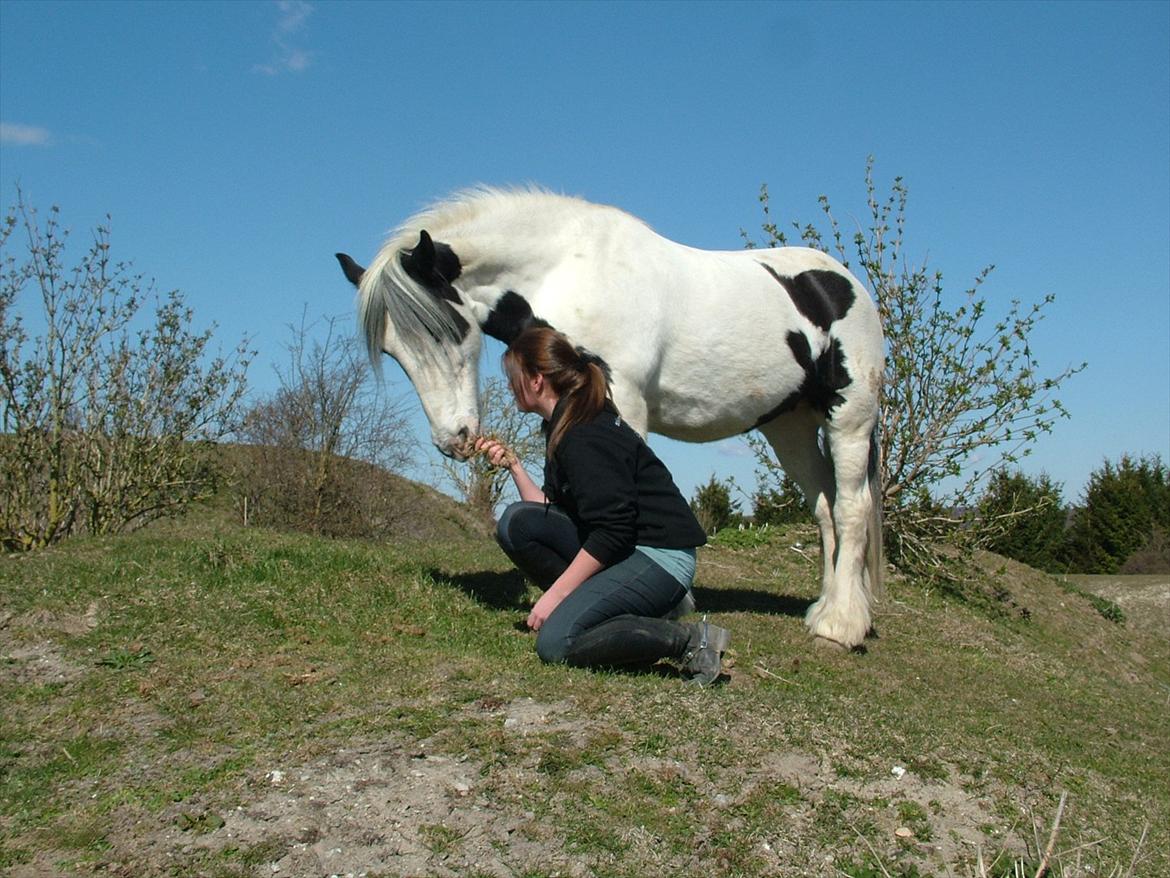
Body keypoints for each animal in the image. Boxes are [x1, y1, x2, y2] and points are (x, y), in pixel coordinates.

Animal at [334, 187, 879, 655]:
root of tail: (841, 281)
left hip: (848, 418)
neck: (568, 269)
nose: (455, 440)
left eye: (443, 329)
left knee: (852, 507)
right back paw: (825, 609)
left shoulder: (625, 404)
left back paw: (841, 627)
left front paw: (671, 604)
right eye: (393, 351)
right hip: (789, 427)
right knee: (825, 508)